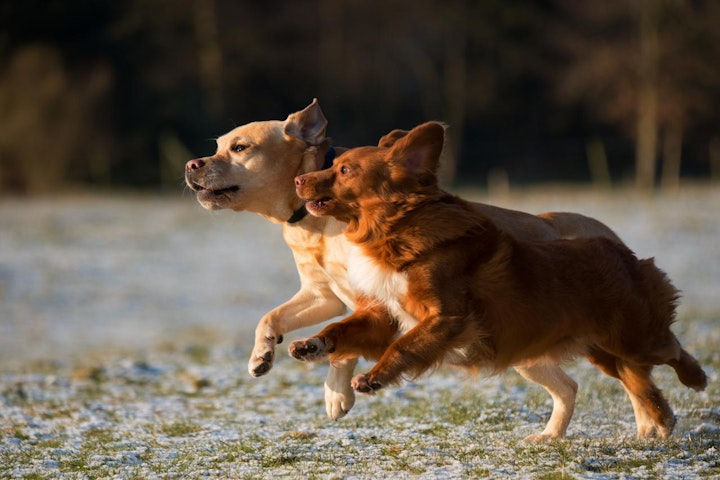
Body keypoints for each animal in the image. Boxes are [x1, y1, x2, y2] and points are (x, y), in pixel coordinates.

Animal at [183, 98, 648, 436]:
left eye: (241, 148)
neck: (313, 223)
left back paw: (647, 430)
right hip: (520, 348)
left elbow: (345, 348)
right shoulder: (322, 294)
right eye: (218, 145)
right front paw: (261, 355)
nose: (192, 164)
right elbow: (271, 318)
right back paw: (551, 436)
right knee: (569, 386)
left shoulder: (370, 299)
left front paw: (337, 395)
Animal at [288, 122, 708, 440]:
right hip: (603, 350)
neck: (393, 230)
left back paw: (696, 379)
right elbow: (342, 328)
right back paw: (655, 421)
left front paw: (373, 378)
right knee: (632, 382)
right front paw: (311, 344)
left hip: (633, 338)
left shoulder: (447, 317)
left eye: (344, 170)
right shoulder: (386, 315)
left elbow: (404, 347)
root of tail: (620, 250)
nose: (297, 179)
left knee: (670, 349)